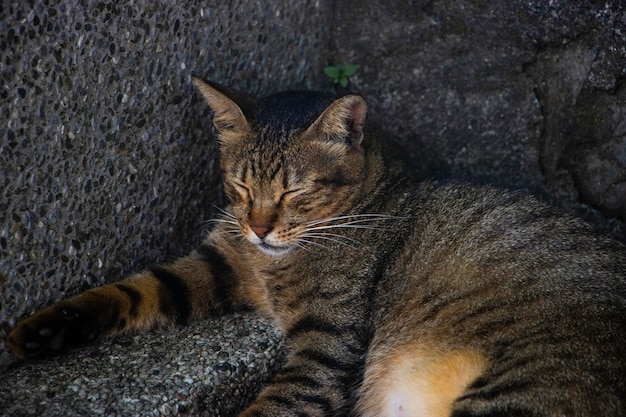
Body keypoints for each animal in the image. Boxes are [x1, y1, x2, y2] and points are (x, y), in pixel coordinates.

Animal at [7, 79, 624, 416]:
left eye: (294, 191)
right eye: (240, 185)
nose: (259, 227)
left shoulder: (326, 345)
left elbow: (278, 402)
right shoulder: (218, 262)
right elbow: (132, 290)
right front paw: (44, 330)